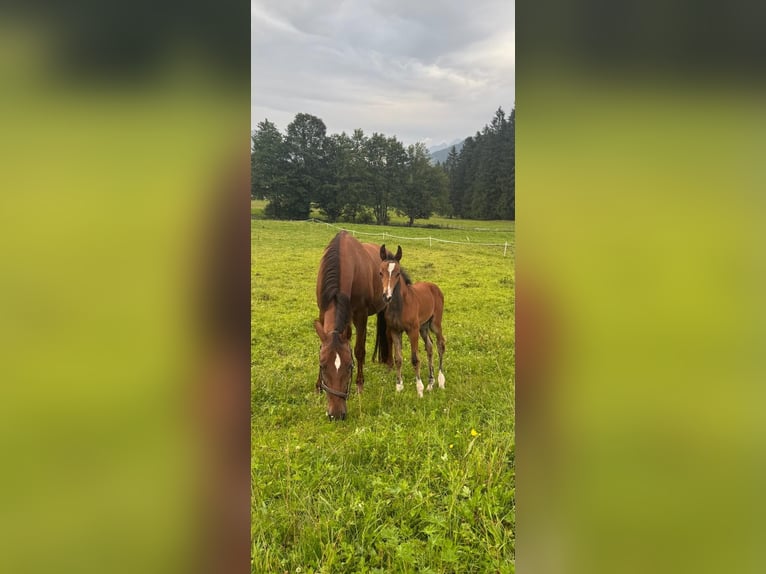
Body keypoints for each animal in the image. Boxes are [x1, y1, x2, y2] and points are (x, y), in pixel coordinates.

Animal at [315, 231, 392, 420]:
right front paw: (318, 385)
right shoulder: (323, 313)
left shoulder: (360, 316)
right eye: (322, 366)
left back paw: (389, 364)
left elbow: (359, 351)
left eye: (350, 366)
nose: (336, 414)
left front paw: (360, 385)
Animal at [378, 244, 446, 397]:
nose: (386, 296)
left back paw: (440, 381)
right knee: (430, 347)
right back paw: (430, 383)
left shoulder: (412, 331)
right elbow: (398, 358)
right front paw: (399, 387)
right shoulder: (395, 331)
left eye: (397, 273)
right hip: (423, 326)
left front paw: (419, 389)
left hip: (434, 324)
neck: (400, 305)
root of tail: (434, 287)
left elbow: (415, 359)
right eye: (380, 273)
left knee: (440, 345)